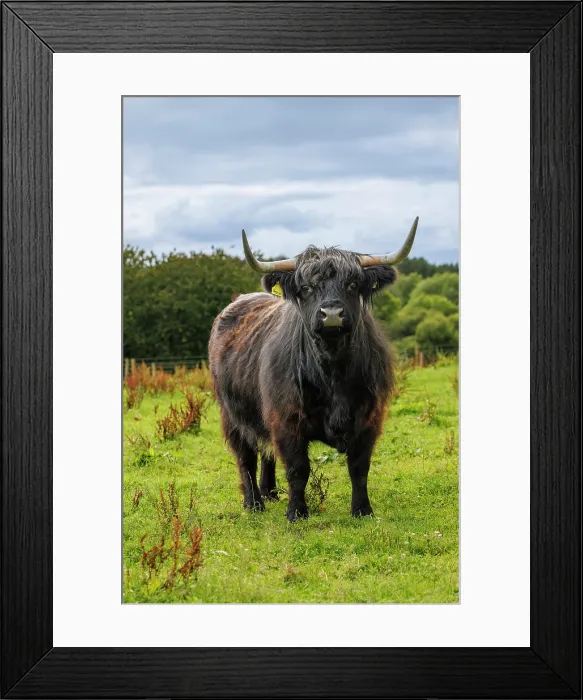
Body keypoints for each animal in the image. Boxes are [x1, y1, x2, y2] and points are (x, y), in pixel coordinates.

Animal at [208, 218, 419, 522]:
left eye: (352, 284)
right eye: (306, 288)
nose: (331, 314)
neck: (333, 372)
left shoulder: (370, 417)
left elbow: (359, 467)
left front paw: (362, 510)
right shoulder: (286, 418)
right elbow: (298, 469)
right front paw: (296, 512)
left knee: (266, 452)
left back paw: (270, 492)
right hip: (231, 412)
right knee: (245, 456)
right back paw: (254, 502)